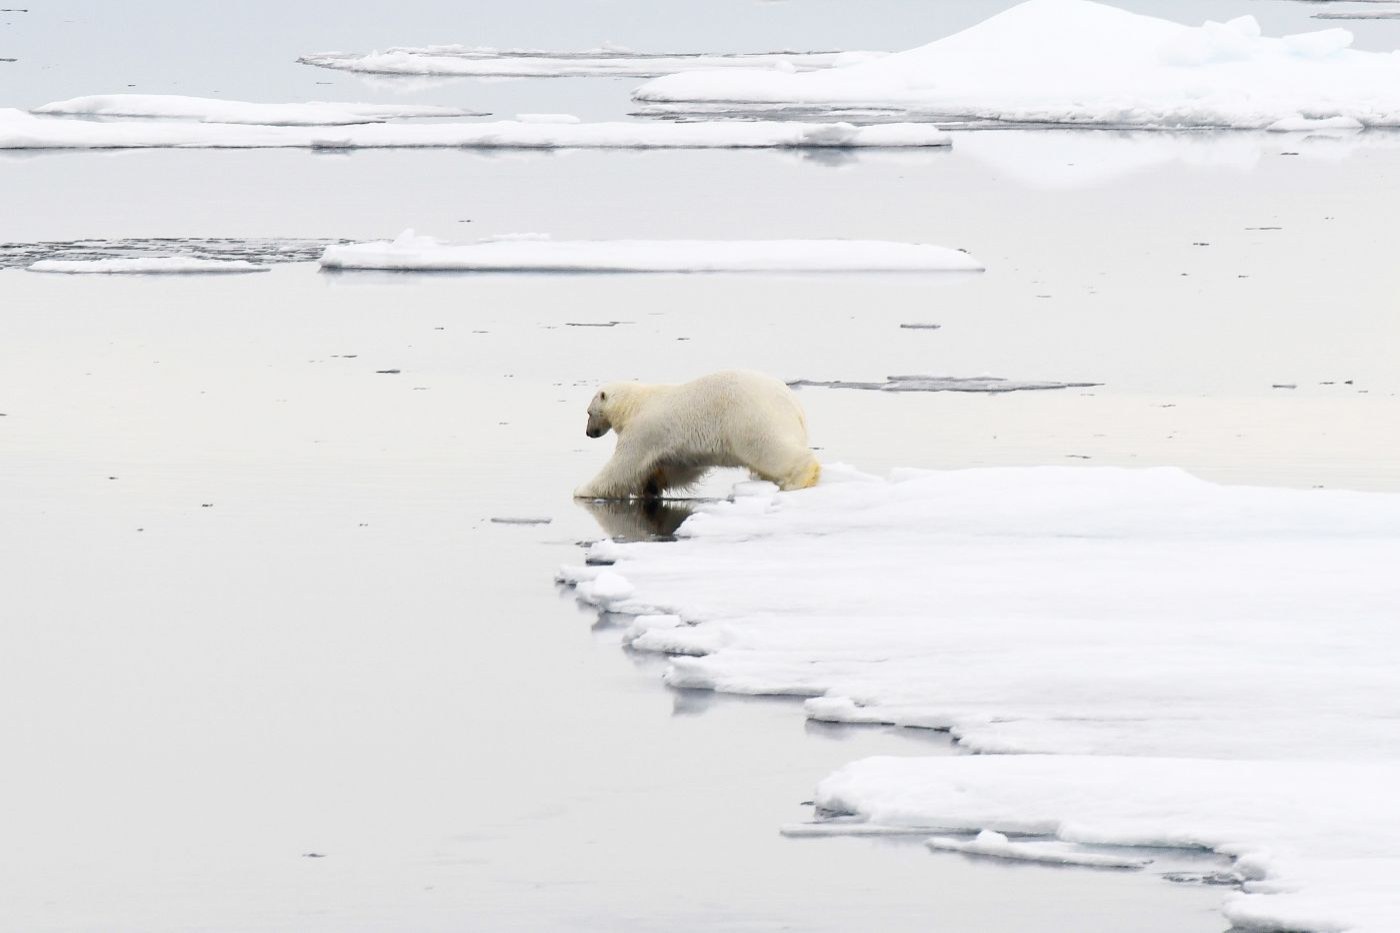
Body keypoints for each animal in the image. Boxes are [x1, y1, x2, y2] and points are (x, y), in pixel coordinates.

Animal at [574, 370, 822, 500]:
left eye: (588, 412)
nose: (588, 433)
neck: (635, 404)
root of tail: (794, 404)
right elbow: (677, 467)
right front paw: (651, 485)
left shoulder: (644, 430)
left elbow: (623, 466)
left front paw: (581, 490)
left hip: (752, 418)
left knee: (770, 449)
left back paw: (798, 480)